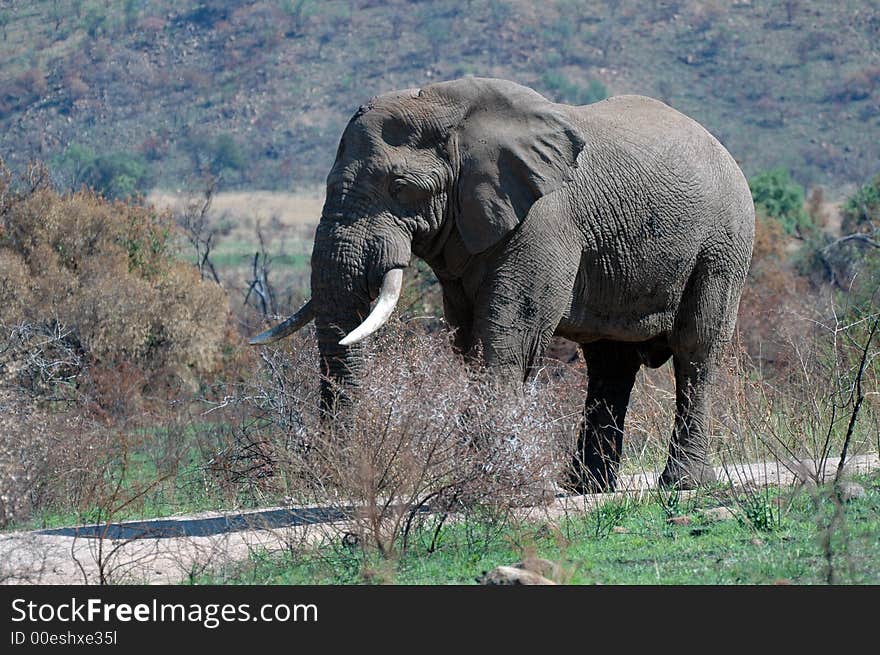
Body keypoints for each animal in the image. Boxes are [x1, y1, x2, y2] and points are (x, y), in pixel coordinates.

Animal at [249, 77, 756, 492]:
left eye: (401, 187)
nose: (335, 474)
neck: (449, 107)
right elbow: (468, 341)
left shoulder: (545, 220)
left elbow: (512, 333)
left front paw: (494, 482)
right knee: (609, 363)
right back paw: (584, 489)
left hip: (724, 244)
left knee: (696, 348)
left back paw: (683, 484)